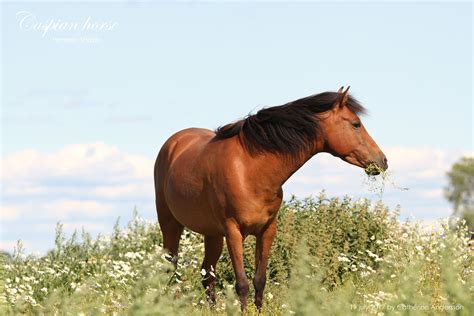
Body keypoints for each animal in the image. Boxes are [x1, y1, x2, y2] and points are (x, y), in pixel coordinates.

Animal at [154, 87, 386, 312]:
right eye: (356, 124)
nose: (382, 161)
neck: (250, 170)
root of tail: (174, 143)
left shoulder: (267, 230)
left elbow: (259, 280)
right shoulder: (233, 232)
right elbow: (242, 283)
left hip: (212, 234)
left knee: (207, 274)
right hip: (171, 224)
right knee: (170, 267)